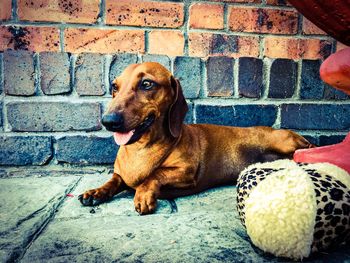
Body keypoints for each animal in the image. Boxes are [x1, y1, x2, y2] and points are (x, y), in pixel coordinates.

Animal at [79, 63, 312, 216]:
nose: (108, 121)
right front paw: (96, 191)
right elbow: (114, 180)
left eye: (146, 83)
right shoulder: (121, 175)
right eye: (114, 87)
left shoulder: (186, 172)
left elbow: (154, 174)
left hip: (285, 142)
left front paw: (143, 194)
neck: (141, 148)